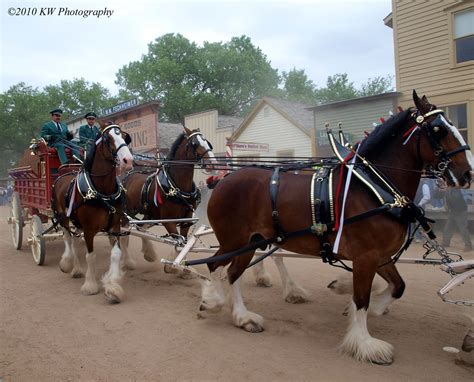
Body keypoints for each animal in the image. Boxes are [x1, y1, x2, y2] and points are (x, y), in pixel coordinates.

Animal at [52, 124, 133, 302]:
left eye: (124, 136)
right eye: (108, 138)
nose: (128, 160)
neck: (103, 191)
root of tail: (63, 175)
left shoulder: (115, 226)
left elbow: (116, 253)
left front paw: (112, 287)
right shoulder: (89, 229)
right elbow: (91, 256)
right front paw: (90, 285)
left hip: (77, 222)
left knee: (75, 241)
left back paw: (76, 269)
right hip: (63, 217)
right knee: (68, 239)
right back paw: (67, 263)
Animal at [120, 127, 215, 270]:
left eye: (207, 142)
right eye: (195, 143)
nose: (213, 163)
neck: (176, 186)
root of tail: (126, 176)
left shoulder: (186, 219)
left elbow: (184, 242)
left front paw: (182, 266)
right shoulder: (168, 221)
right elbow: (179, 241)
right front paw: (173, 267)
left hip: (149, 214)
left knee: (141, 228)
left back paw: (148, 253)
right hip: (127, 213)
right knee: (125, 234)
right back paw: (127, 260)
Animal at [200, 92, 474, 364]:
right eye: (438, 129)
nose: (468, 173)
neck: (373, 187)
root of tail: (223, 180)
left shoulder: (380, 256)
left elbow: (397, 287)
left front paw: (373, 308)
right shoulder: (366, 257)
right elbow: (362, 298)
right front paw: (365, 343)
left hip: (251, 242)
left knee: (233, 273)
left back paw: (242, 317)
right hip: (234, 241)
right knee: (215, 266)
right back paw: (214, 301)